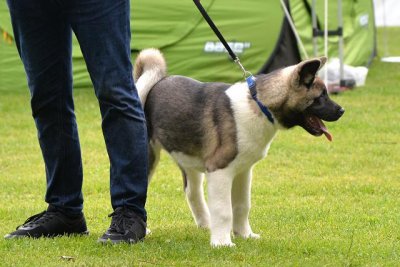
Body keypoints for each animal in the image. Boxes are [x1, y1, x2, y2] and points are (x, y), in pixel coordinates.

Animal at [134, 49, 344, 248]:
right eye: (320, 96)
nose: (342, 111)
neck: (259, 105)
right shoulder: (219, 170)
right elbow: (224, 210)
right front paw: (222, 243)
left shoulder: (243, 171)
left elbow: (242, 205)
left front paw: (245, 235)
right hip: (149, 157)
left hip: (188, 159)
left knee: (192, 192)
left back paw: (206, 224)